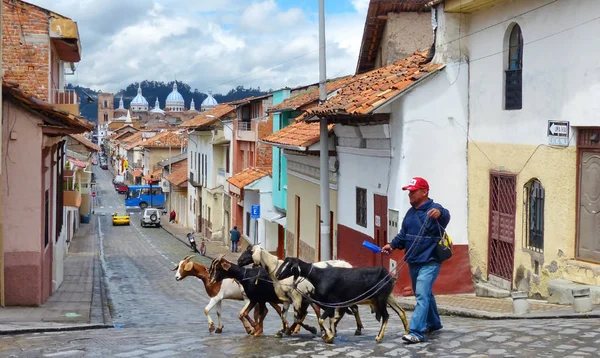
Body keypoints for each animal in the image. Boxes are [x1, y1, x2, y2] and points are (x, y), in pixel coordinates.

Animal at [276, 256, 408, 342]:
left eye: (289, 266)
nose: (277, 275)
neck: (319, 276)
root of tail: (389, 275)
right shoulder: (329, 305)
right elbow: (330, 319)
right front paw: (329, 335)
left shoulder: (331, 303)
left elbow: (322, 320)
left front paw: (329, 335)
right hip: (388, 296)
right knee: (401, 311)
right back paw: (407, 332)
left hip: (381, 298)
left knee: (386, 316)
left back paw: (379, 337)